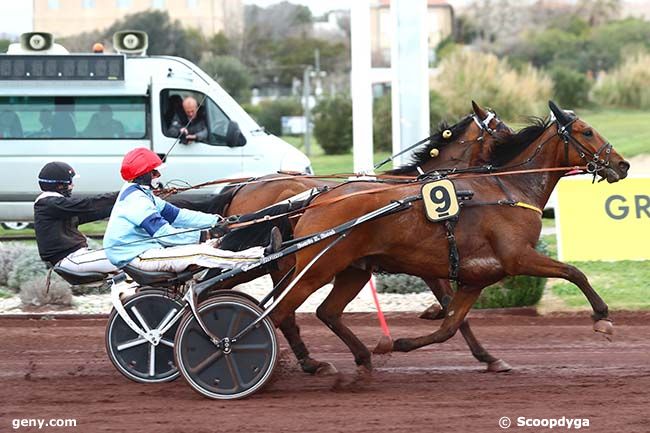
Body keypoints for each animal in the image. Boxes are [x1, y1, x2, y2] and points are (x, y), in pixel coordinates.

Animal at [264, 100, 628, 372]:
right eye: (587, 131)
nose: (622, 165)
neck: (508, 188)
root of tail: (317, 200)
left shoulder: (476, 276)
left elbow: (449, 325)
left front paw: (406, 341)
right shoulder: (518, 257)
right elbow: (574, 272)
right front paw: (602, 317)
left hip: (353, 270)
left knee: (326, 312)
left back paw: (361, 358)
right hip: (316, 268)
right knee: (281, 314)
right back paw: (303, 364)